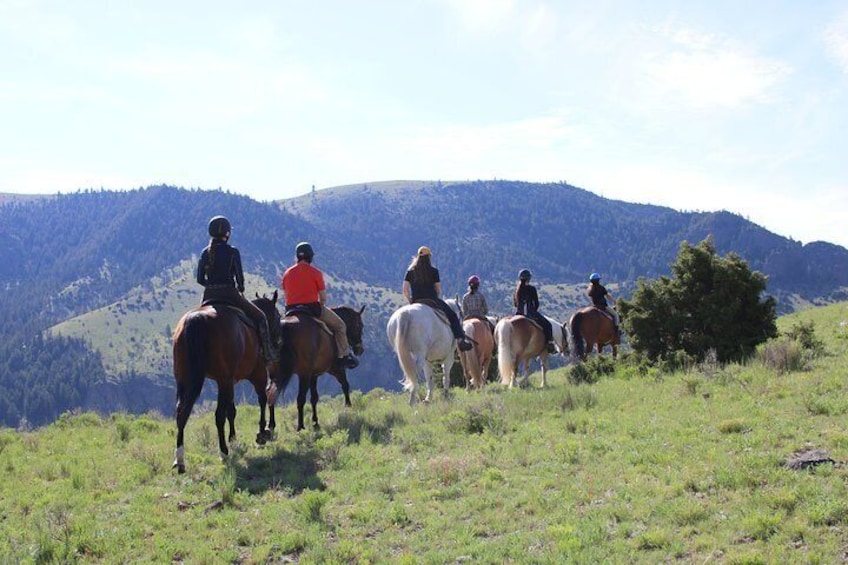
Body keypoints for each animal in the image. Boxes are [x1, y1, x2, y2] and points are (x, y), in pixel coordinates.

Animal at [173, 290, 284, 472]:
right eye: (277, 316)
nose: (278, 343)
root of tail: (196, 319)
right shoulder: (257, 374)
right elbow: (262, 399)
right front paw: (262, 432)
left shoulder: (230, 381)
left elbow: (231, 410)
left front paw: (233, 439)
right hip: (223, 379)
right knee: (218, 415)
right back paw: (223, 452)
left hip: (184, 378)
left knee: (181, 412)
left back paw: (180, 458)